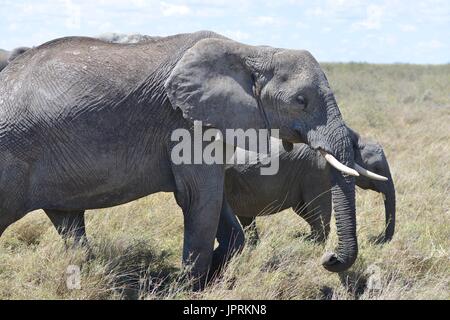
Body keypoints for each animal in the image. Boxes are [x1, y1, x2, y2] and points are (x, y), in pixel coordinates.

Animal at [0, 31, 366, 288]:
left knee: (68, 220)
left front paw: (213, 272)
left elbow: (217, 205)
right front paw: (190, 287)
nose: (329, 258)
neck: (250, 51)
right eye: (300, 101)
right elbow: (199, 198)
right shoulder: (184, 124)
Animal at [224, 126, 394, 244]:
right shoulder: (315, 168)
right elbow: (318, 206)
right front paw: (314, 243)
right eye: (377, 168)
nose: (380, 239)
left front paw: (307, 239)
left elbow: (303, 208)